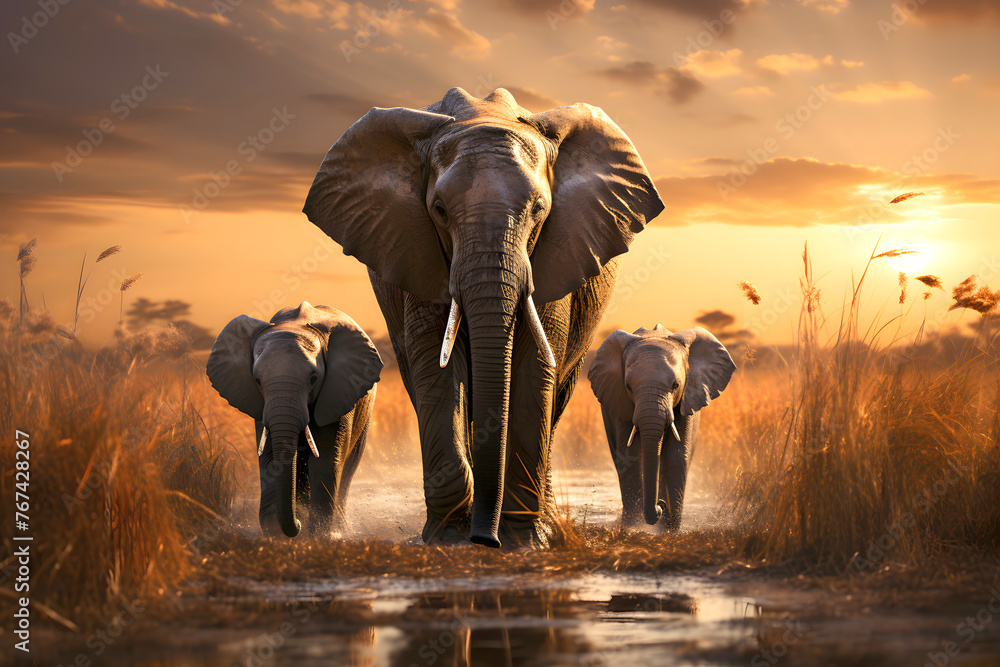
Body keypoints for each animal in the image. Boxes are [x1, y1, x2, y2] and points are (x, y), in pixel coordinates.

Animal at [206, 301, 382, 538]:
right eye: (257, 380)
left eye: (313, 379)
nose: (297, 523)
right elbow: (271, 457)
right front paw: (277, 533)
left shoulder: (338, 392)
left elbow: (325, 460)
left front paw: (318, 533)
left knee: (348, 466)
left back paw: (339, 528)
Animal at [302, 87, 663, 548]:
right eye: (438, 209)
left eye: (539, 209)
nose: (484, 540)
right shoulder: (416, 250)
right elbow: (437, 371)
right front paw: (449, 536)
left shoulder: (554, 255)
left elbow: (533, 369)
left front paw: (524, 541)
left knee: (556, 399)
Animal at [587, 325, 736, 531]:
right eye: (628, 386)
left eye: (676, 385)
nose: (660, 505)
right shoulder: (620, 400)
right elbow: (630, 456)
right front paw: (633, 527)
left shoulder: (687, 398)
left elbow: (676, 455)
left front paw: (669, 530)